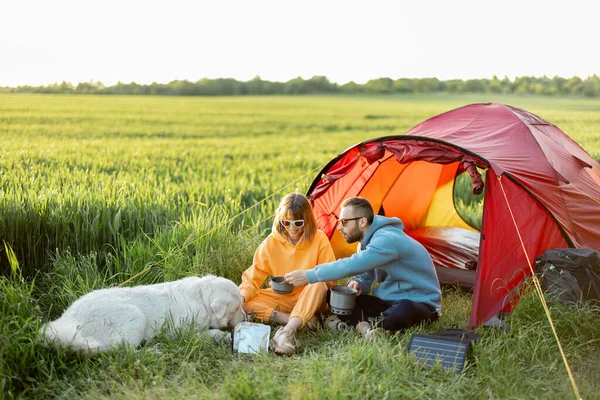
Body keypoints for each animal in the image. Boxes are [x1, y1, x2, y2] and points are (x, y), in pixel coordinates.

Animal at [40, 276, 244, 354]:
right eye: (237, 307)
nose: (246, 317)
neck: (201, 297)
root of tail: (66, 321)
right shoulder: (181, 332)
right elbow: (205, 334)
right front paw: (222, 335)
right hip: (135, 317)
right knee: (123, 351)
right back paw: (152, 352)